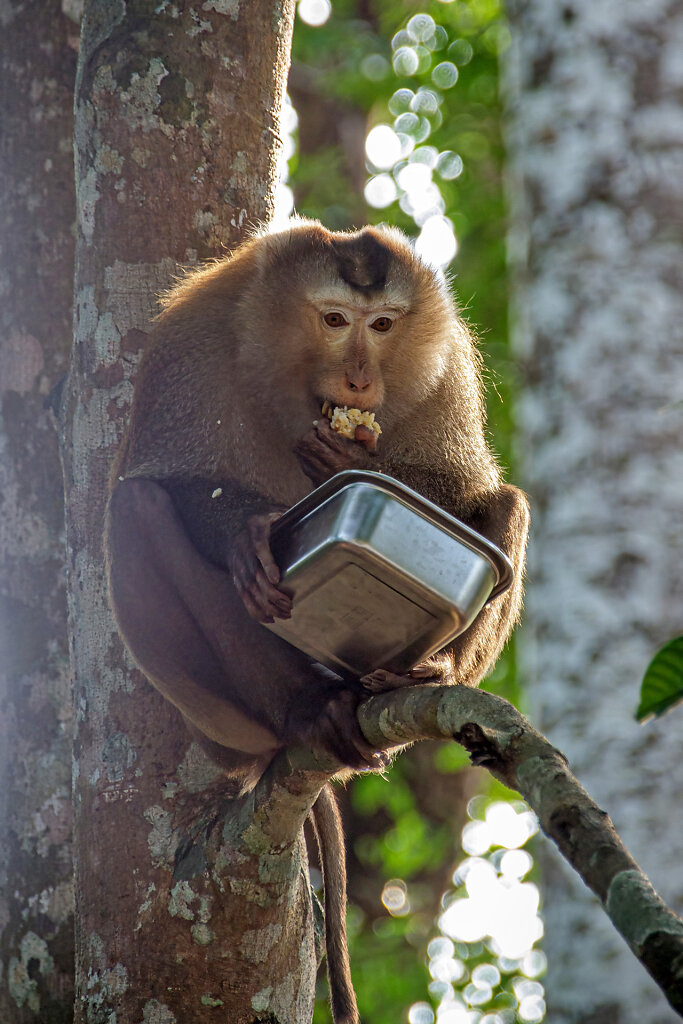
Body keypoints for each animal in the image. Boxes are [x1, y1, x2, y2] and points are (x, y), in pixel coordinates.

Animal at [105, 218, 528, 1024]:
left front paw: (347, 458)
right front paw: (245, 541)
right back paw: (303, 713)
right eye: (334, 320)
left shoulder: (442, 366)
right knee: (137, 510)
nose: (361, 381)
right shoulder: (199, 333)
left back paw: (416, 673)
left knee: (504, 508)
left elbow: (461, 490)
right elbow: (171, 475)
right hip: (220, 718)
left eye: (383, 326)